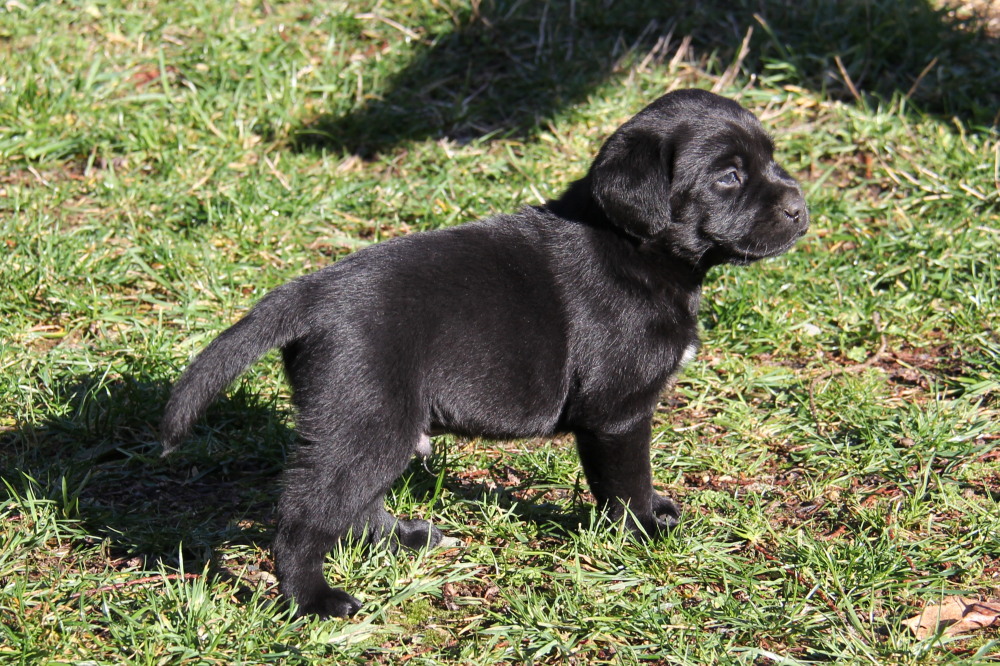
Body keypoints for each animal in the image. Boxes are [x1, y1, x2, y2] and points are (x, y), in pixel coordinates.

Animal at [160, 88, 808, 616]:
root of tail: (308, 294)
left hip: (372, 424)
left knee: (355, 503)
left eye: (771, 161)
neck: (638, 250)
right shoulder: (618, 415)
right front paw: (643, 527)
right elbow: (624, 483)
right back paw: (311, 601)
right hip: (368, 418)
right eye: (728, 177)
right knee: (306, 516)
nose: (801, 207)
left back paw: (407, 539)